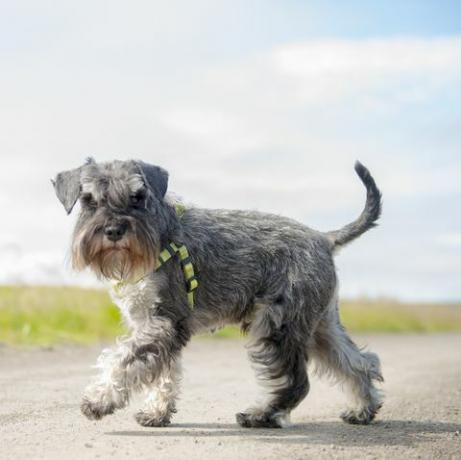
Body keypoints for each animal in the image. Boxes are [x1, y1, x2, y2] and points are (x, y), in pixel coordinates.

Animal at [53, 158, 384, 428]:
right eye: (89, 200)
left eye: (137, 197)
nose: (113, 231)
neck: (159, 234)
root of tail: (324, 239)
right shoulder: (155, 325)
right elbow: (164, 373)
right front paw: (157, 412)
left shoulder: (162, 323)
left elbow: (123, 361)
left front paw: (98, 399)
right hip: (321, 325)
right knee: (357, 362)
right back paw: (362, 410)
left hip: (276, 327)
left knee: (296, 382)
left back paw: (260, 415)